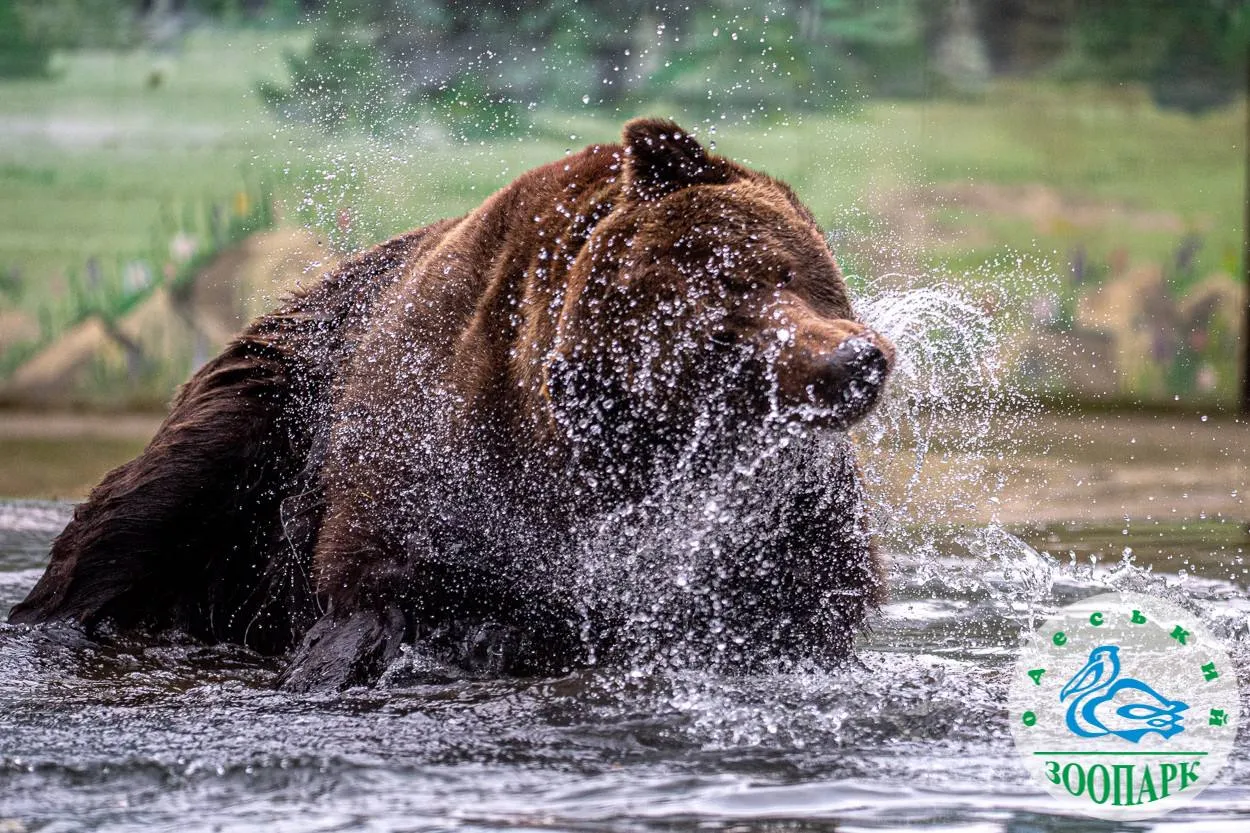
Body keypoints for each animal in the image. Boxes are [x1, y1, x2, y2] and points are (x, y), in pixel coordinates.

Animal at [7, 116, 890, 685]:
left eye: (778, 268)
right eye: (722, 346)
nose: (852, 363)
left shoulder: (776, 514)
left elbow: (805, 601)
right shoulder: (424, 444)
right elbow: (379, 583)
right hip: (260, 420)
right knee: (133, 523)